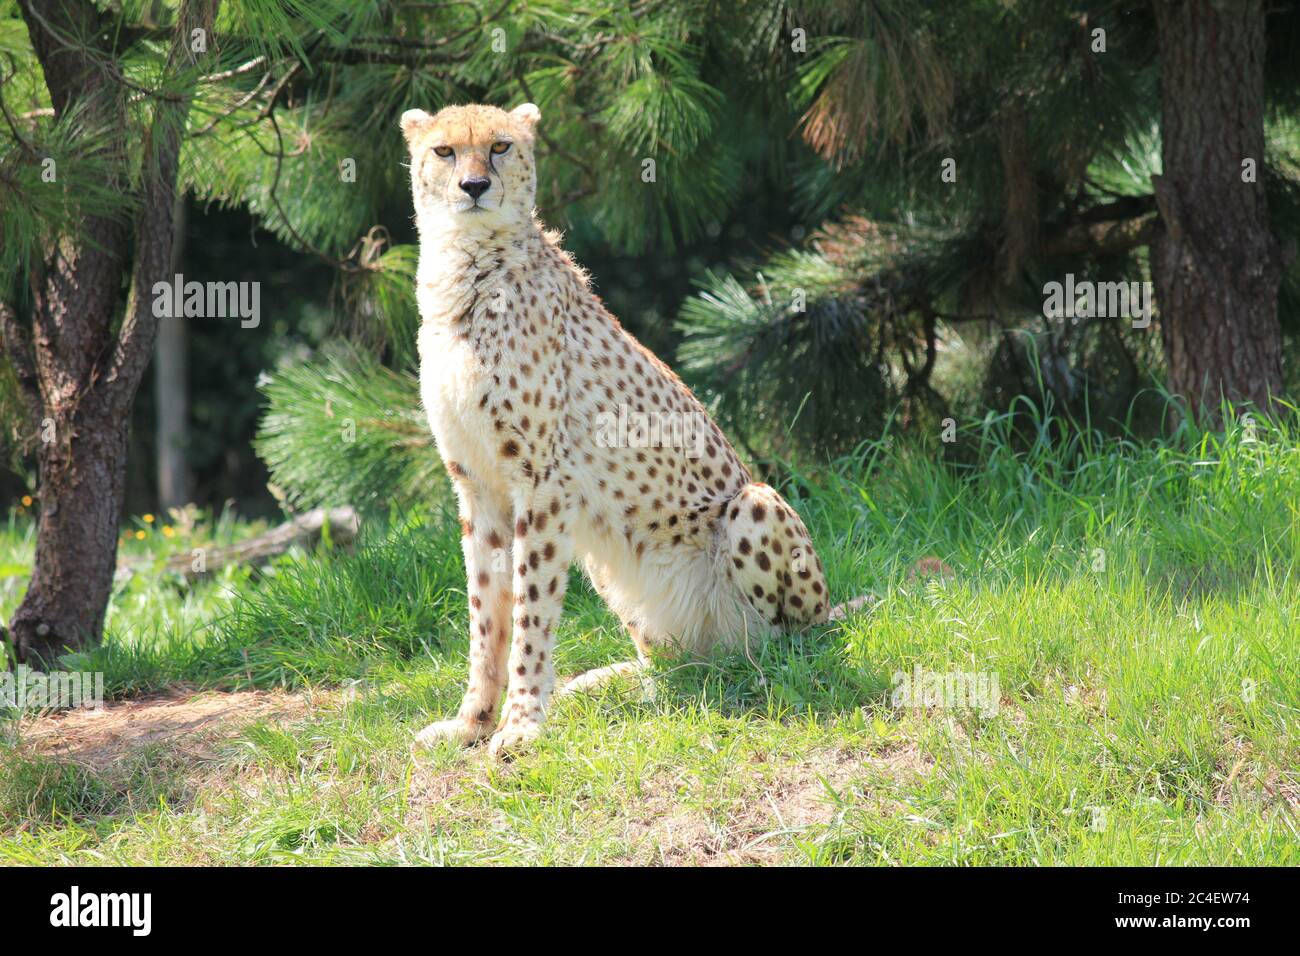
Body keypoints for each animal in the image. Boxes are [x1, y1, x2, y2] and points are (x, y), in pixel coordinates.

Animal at [403, 104, 832, 754]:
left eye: (500, 147)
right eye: (445, 151)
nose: (473, 186)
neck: (466, 270)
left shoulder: (542, 483)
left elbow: (529, 610)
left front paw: (522, 723)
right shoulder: (476, 485)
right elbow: (486, 615)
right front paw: (472, 721)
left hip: (754, 506)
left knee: (783, 647)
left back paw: (763, 668)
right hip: (611, 566)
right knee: (679, 667)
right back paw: (610, 682)